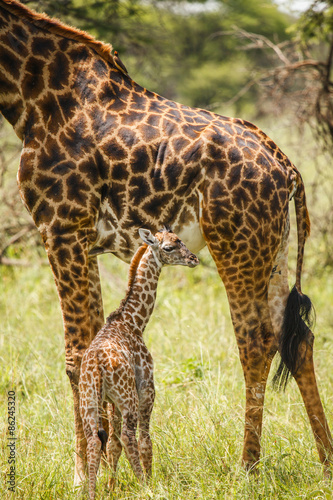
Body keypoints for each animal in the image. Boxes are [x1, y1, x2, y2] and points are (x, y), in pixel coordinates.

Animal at [78, 226, 198, 496]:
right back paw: (144, 485)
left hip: (89, 401)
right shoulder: (146, 387)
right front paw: (150, 481)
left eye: (181, 239)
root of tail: (97, 365)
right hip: (129, 397)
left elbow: (112, 444)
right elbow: (145, 439)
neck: (134, 321)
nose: (194, 259)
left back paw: (92, 493)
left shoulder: (110, 402)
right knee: (129, 436)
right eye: (169, 247)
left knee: (95, 440)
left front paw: (111, 488)